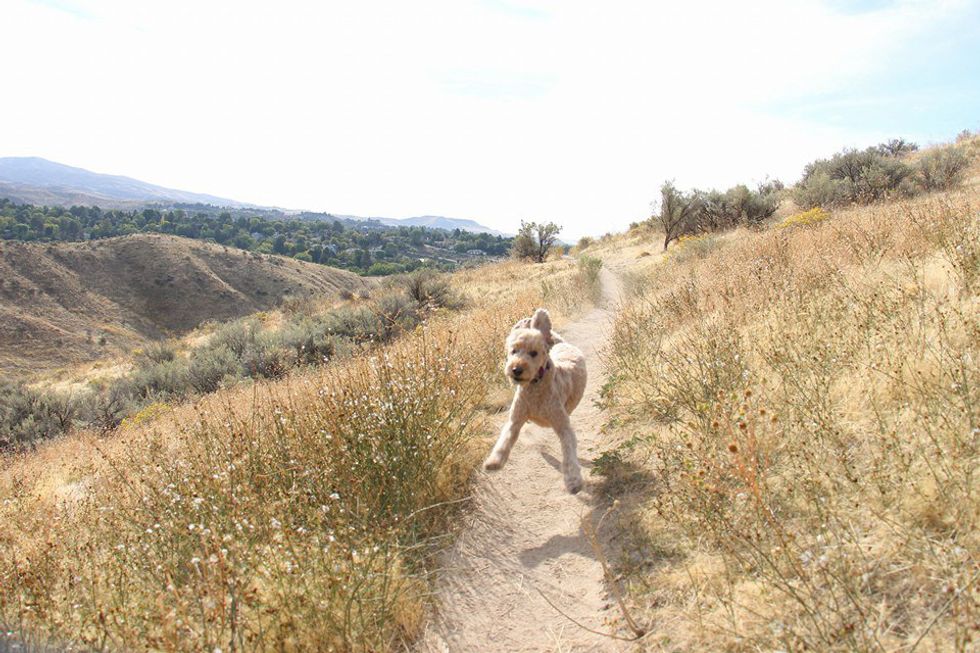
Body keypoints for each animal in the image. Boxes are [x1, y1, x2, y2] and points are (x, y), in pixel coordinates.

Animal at [483, 308, 587, 493]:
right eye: (513, 351)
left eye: (534, 353)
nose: (516, 369)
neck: (535, 387)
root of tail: (559, 342)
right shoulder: (515, 420)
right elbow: (504, 441)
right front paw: (494, 461)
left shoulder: (563, 425)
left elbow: (568, 452)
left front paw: (573, 480)